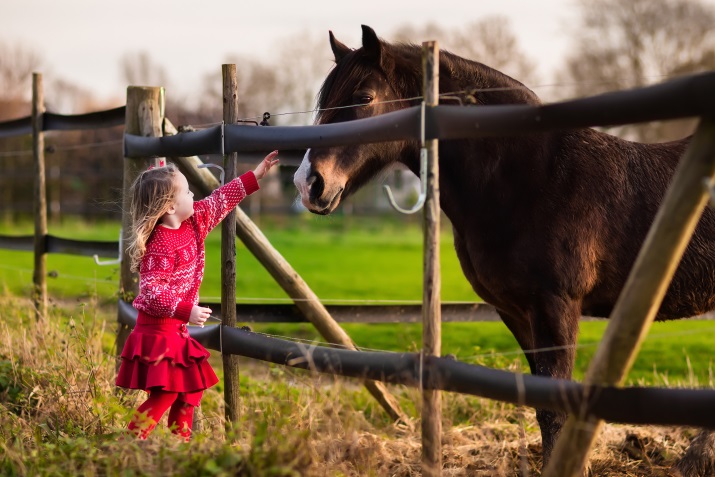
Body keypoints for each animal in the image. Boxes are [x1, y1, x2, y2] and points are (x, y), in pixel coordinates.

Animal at [292, 25, 715, 468]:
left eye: (364, 98)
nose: (308, 183)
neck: (532, 178)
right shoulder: (516, 311)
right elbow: (543, 406)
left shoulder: (556, 306)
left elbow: (556, 407)